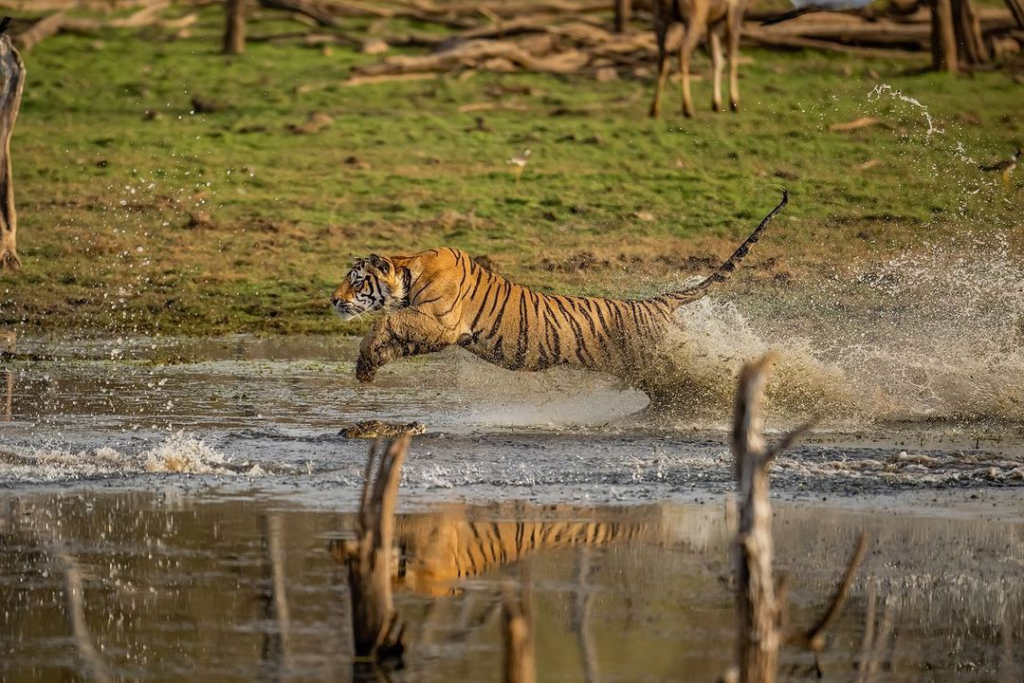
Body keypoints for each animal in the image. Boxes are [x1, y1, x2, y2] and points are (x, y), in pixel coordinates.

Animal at [331, 191, 787, 384]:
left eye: (355, 280)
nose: (333, 300)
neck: (412, 270)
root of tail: (655, 303)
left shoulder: (438, 322)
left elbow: (383, 324)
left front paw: (365, 360)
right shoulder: (429, 329)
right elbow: (390, 337)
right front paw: (367, 369)